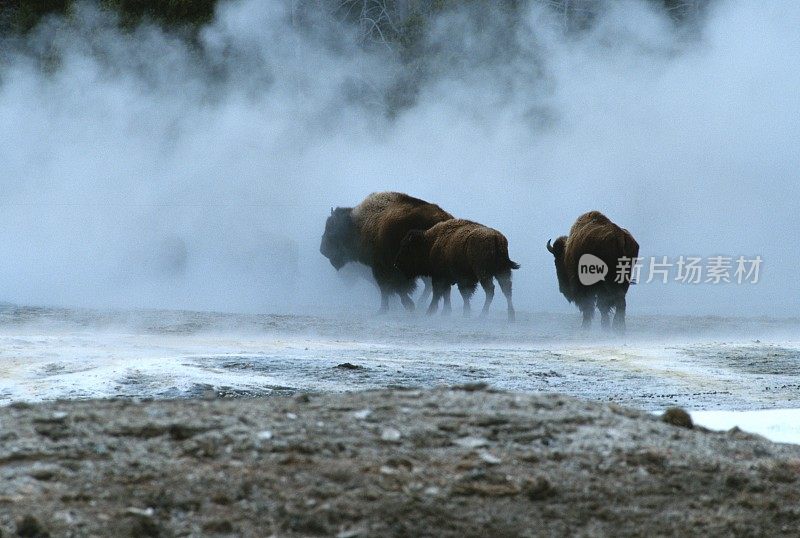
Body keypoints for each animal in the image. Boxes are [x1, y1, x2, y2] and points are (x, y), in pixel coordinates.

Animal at [322, 192, 454, 310]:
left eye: (331, 230)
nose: (323, 249)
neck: (360, 224)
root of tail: (445, 218)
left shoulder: (383, 268)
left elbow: (389, 288)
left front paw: (402, 306)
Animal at [392, 218, 520, 318]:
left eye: (407, 248)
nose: (396, 264)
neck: (431, 242)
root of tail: (496, 237)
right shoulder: (449, 278)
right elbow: (448, 294)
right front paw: (448, 312)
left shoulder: (441, 276)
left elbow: (440, 293)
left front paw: (431, 311)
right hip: (502, 271)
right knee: (507, 289)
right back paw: (511, 315)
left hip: (483, 272)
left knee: (490, 290)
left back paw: (482, 315)